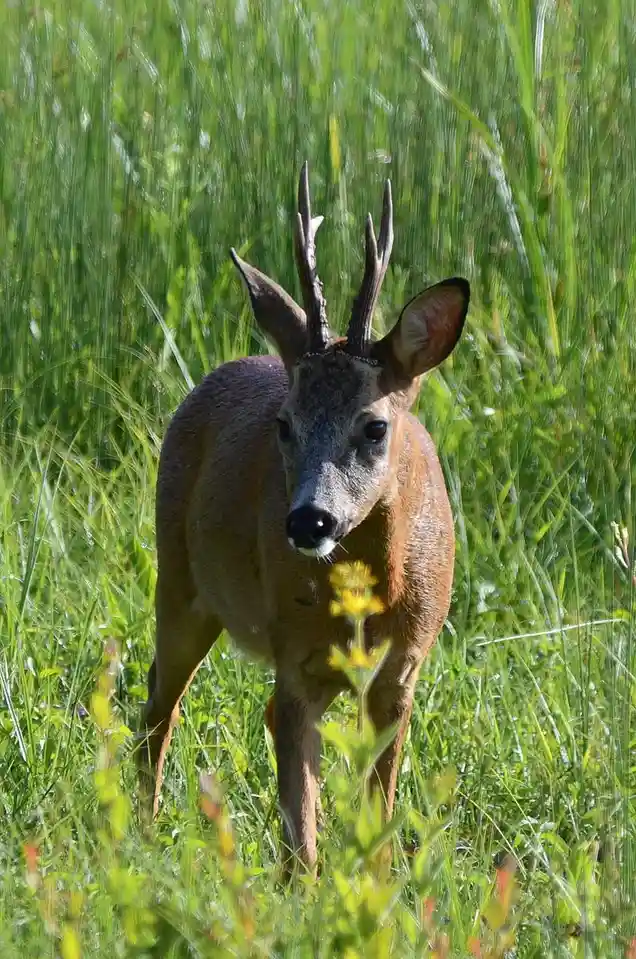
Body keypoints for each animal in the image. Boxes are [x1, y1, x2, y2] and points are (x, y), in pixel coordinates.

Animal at [137, 163, 470, 872]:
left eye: (374, 426)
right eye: (284, 425)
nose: (308, 522)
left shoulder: (402, 672)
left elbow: (378, 810)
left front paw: (373, 880)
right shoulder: (295, 661)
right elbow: (303, 826)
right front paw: (305, 886)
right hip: (178, 576)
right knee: (161, 696)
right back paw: (139, 833)